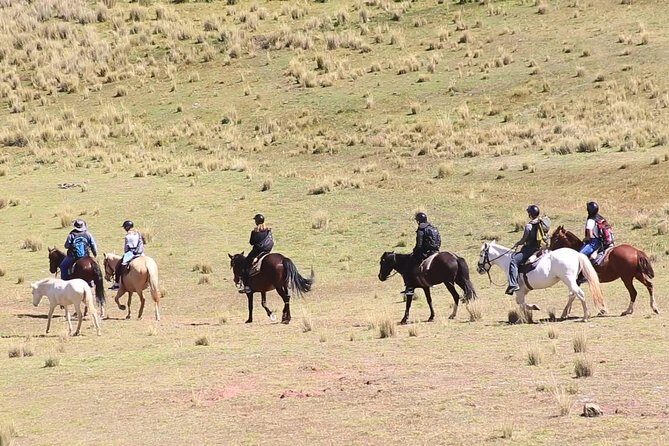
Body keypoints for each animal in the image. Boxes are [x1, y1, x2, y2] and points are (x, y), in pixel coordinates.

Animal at [477, 242, 607, 321]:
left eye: (481, 254)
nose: (479, 269)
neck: (508, 261)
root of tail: (577, 254)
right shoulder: (523, 291)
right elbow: (520, 303)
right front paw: (532, 310)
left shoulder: (519, 290)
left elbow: (521, 303)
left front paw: (528, 313)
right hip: (571, 281)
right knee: (573, 294)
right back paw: (565, 314)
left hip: (568, 280)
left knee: (580, 294)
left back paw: (585, 317)